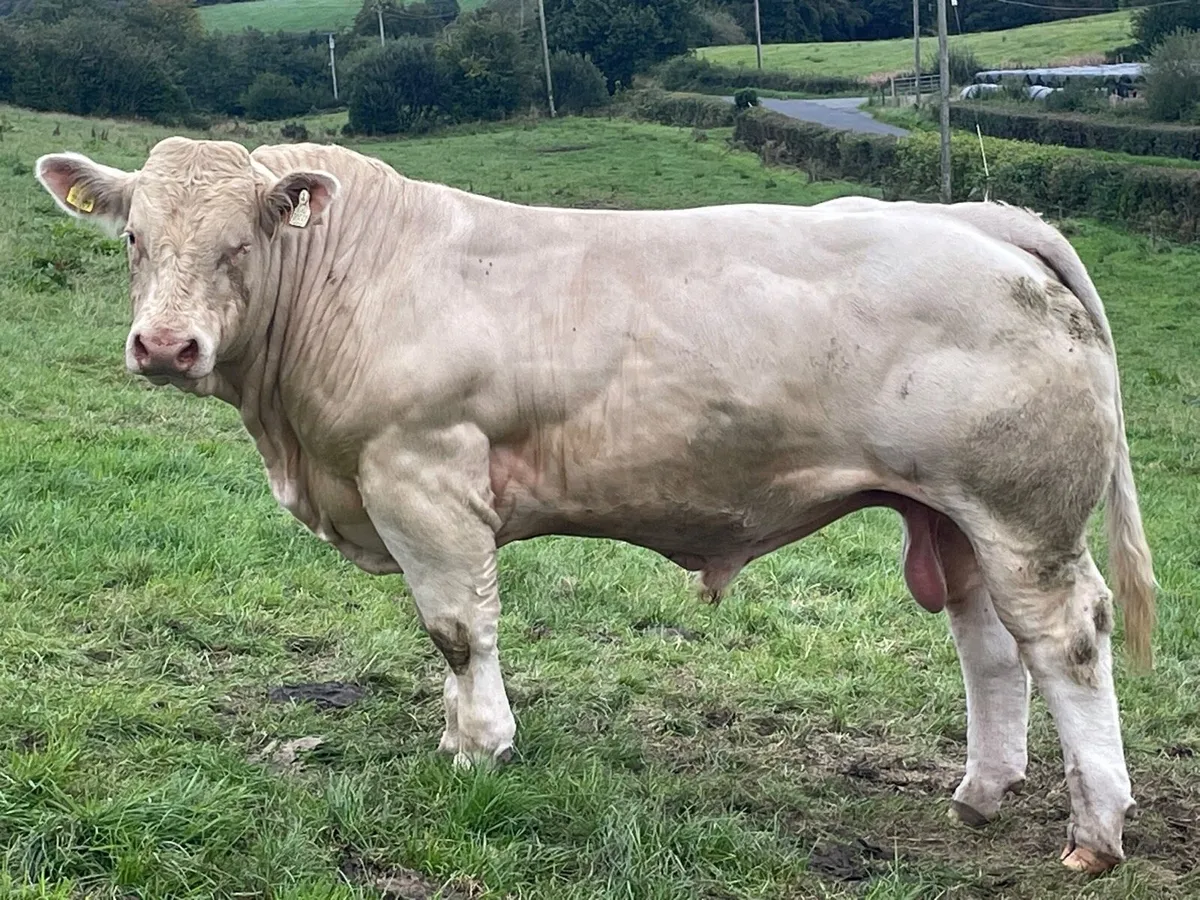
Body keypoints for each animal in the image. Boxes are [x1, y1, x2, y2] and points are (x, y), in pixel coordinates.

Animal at [35, 137, 1155, 875]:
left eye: (239, 243)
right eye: (134, 238)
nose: (165, 346)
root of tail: (975, 220)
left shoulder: (423, 473)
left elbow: (456, 627)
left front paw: (479, 749)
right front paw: (458, 738)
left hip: (1024, 513)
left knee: (1066, 640)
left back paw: (1095, 832)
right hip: (954, 515)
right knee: (990, 645)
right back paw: (981, 794)